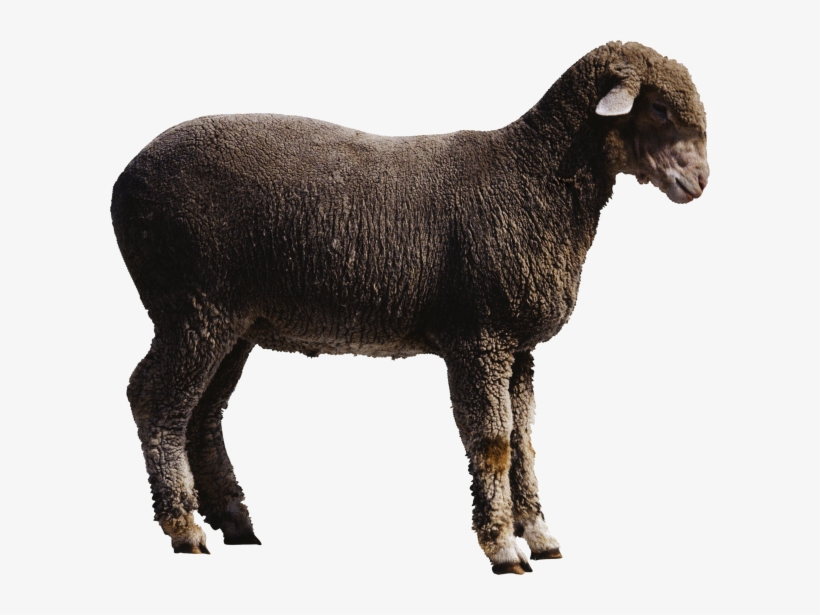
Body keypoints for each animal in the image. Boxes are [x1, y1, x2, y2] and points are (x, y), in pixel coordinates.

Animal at [112, 41, 709, 574]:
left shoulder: (518, 347)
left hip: (231, 321)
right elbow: (493, 442)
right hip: (192, 303)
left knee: (203, 413)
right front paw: (503, 548)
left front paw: (540, 536)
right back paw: (185, 528)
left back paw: (235, 522)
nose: (700, 182)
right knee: (156, 400)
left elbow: (525, 442)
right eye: (658, 107)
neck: (533, 176)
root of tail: (126, 177)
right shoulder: (480, 336)